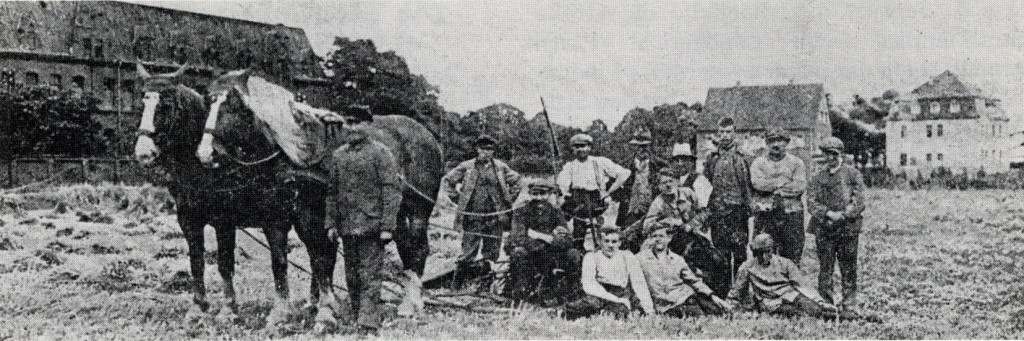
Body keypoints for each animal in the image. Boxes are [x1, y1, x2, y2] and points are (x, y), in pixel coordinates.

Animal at [133, 64, 331, 327]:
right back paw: (314, 304)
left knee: (320, 255)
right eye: (142, 103)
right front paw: (198, 307)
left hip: (310, 218)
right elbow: (197, 262)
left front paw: (229, 309)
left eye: (165, 105)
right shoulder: (188, 219)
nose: (143, 153)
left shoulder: (225, 221)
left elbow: (226, 264)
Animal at [195, 69, 444, 327]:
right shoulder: (278, 219)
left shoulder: (312, 219)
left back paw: (411, 304)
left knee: (418, 247)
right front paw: (289, 311)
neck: (297, 154)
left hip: (418, 210)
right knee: (405, 246)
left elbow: (319, 260)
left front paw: (324, 311)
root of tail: (426, 135)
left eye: (234, 107)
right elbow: (286, 261)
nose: (205, 154)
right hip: (397, 211)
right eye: (208, 104)